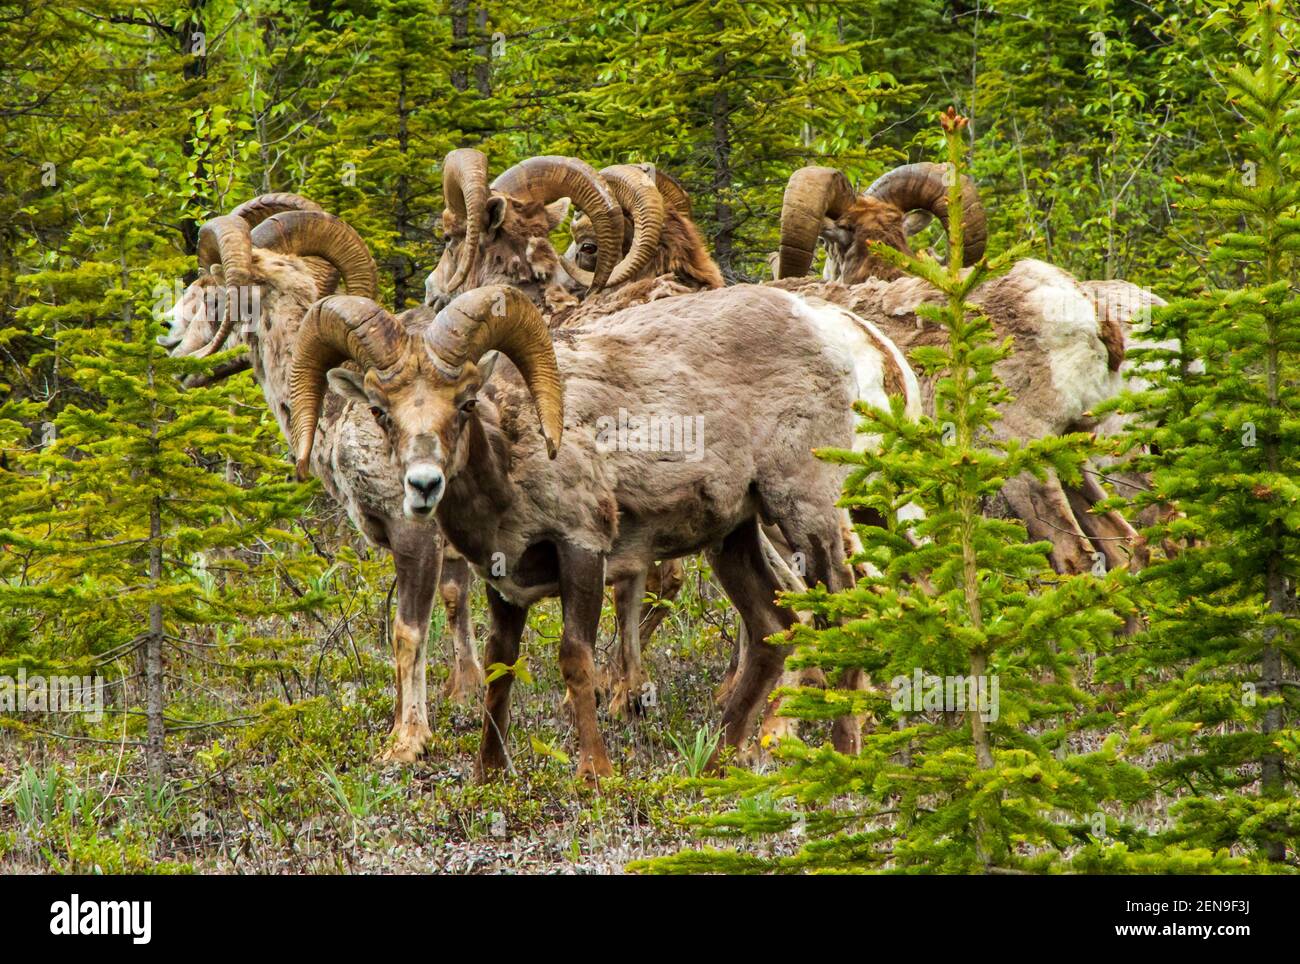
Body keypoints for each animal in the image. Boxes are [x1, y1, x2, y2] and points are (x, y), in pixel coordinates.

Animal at [166, 194, 483, 763]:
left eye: (212, 283)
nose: (168, 332)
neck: (340, 411)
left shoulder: (417, 536)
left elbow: (407, 635)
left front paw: (407, 745)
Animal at [292, 283, 925, 779]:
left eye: (465, 403)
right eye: (382, 413)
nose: (423, 485)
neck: (511, 468)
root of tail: (839, 330)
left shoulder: (583, 551)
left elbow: (577, 660)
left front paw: (593, 773)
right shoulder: (503, 584)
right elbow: (500, 665)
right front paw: (487, 775)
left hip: (807, 513)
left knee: (846, 614)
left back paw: (843, 753)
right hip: (734, 538)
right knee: (774, 629)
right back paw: (720, 763)